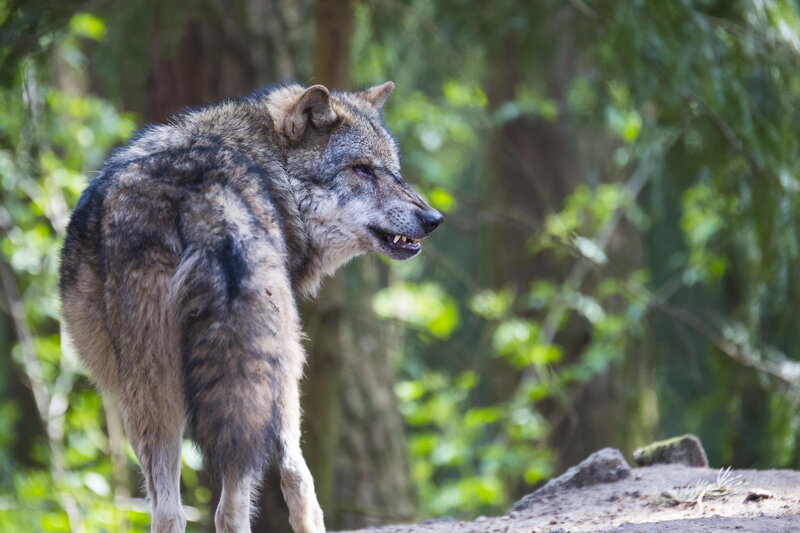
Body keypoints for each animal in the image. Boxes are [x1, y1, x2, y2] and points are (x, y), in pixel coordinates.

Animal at [59, 81, 443, 533]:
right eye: (362, 169)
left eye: (393, 171)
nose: (434, 219)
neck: (262, 158)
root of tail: (201, 195)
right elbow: (293, 476)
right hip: (280, 364)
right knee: (278, 485)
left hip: (153, 386)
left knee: (171, 511)